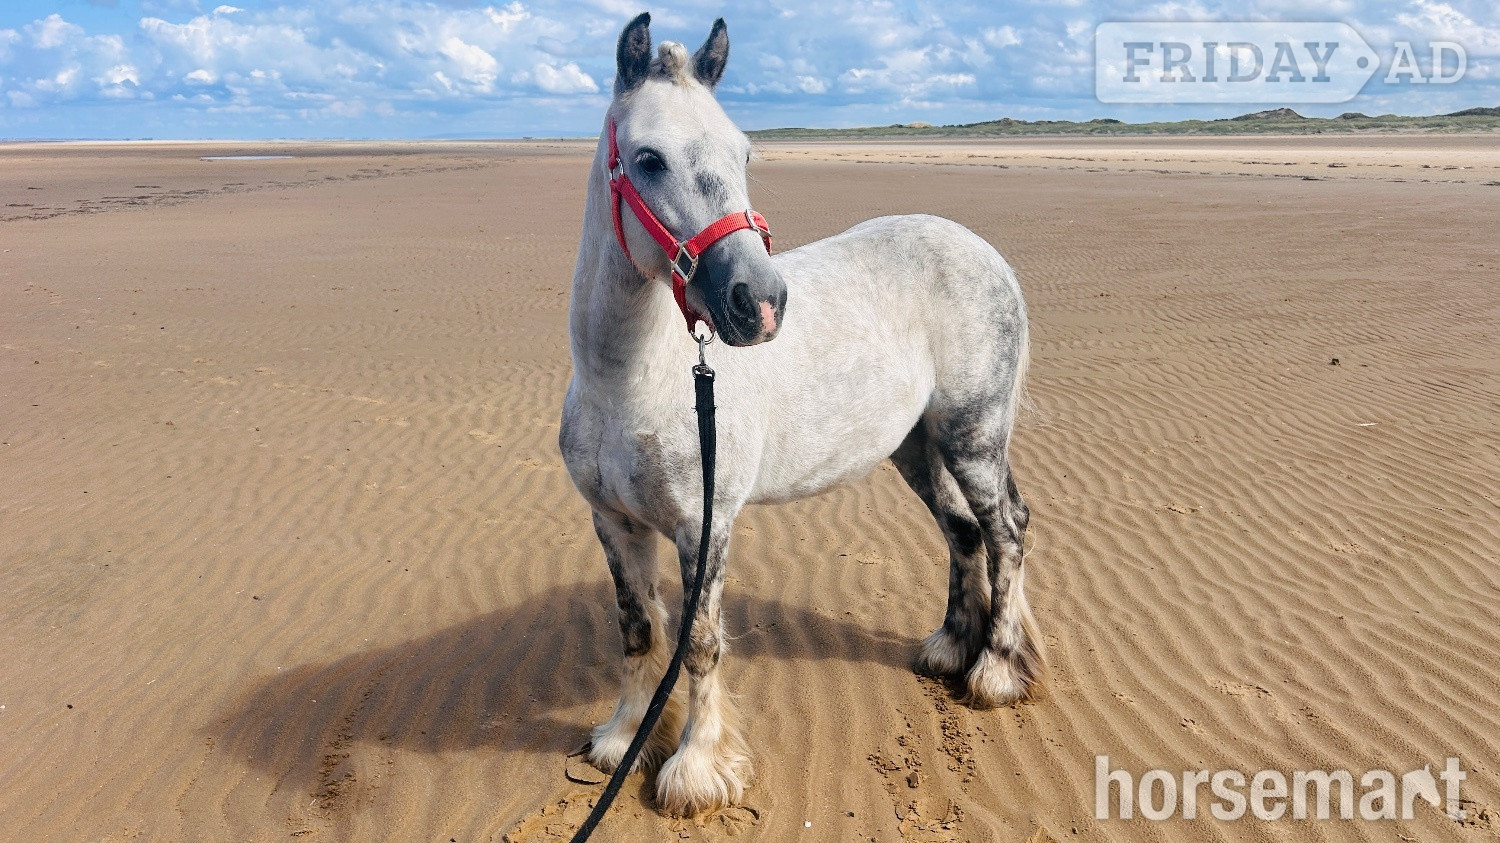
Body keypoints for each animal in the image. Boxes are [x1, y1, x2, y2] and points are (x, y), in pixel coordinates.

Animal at [559, 12, 1040, 817]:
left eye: (744, 151)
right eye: (649, 158)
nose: (759, 301)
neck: (629, 383)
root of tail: (985, 254)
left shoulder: (704, 523)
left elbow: (699, 645)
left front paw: (696, 770)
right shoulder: (615, 522)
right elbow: (637, 630)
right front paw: (623, 738)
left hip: (973, 436)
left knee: (1005, 530)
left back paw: (996, 671)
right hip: (915, 446)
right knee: (964, 530)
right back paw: (947, 647)